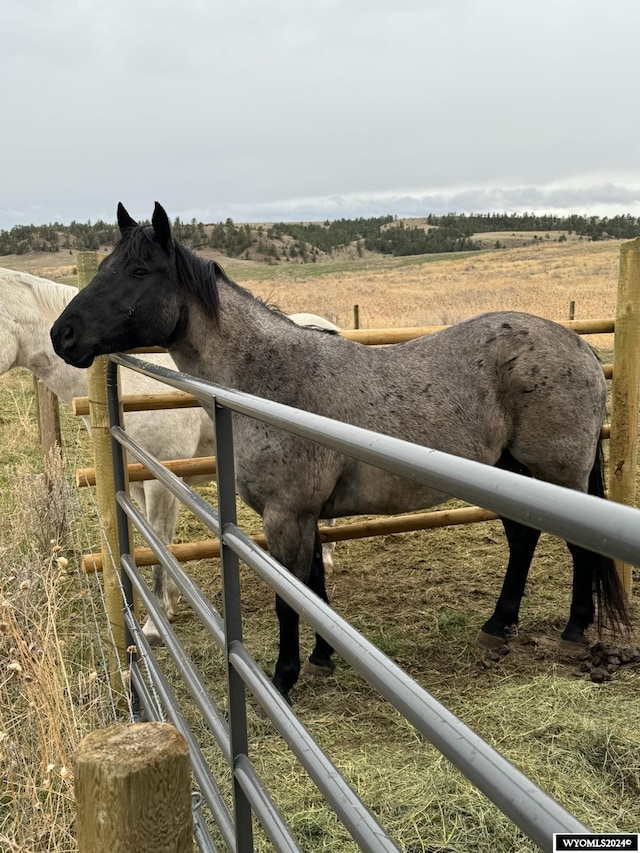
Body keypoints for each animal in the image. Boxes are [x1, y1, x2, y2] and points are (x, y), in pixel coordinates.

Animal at [0, 266, 340, 640]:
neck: (131, 380)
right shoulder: (141, 480)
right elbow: (157, 541)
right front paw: (172, 601)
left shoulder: (159, 479)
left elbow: (159, 542)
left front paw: (154, 622)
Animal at [51, 203, 632, 704]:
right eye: (105, 266)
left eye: (139, 271)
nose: (64, 334)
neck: (270, 380)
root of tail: (580, 348)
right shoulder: (304, 515)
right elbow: (315, 590)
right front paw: (322, 659)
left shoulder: (287, 515)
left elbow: (291, 599)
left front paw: (283, 681)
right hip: (512, 474)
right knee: (523, 539)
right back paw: (498, 626)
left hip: (557, 477)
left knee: (578, 549)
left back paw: (574, 630)